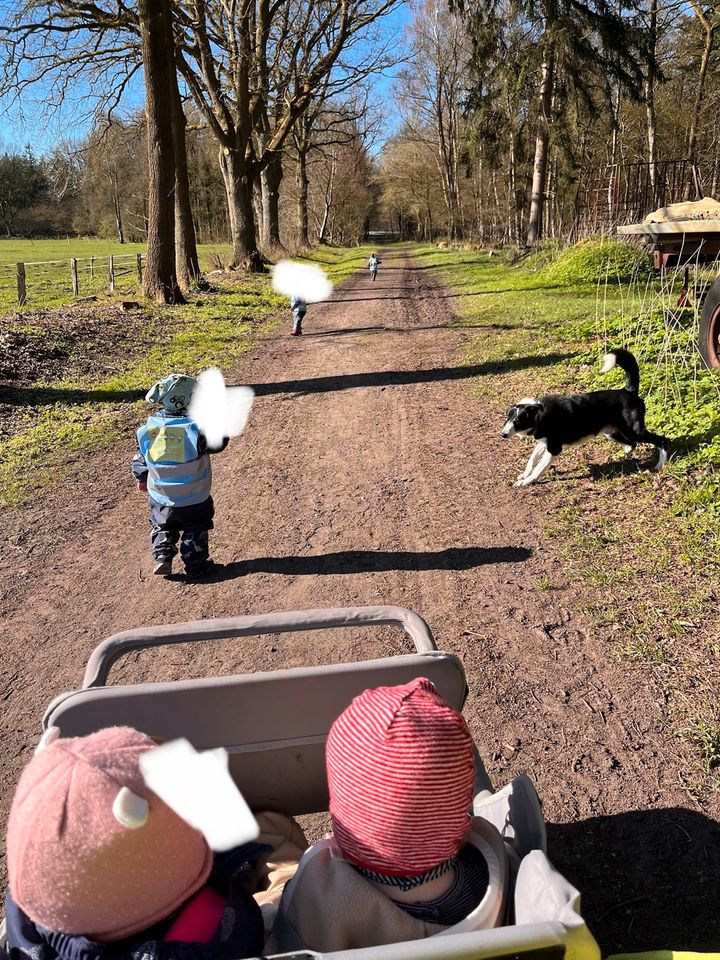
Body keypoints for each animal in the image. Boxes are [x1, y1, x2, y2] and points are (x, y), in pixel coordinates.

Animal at [500, 348, 668, 488]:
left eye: (517, 421)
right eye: (507, 419)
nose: (502, 434)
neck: (540, 414)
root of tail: (628, 391)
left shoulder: (554, 448)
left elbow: (538, 468)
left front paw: (526, 482)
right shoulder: (543, 442)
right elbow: (532, 460)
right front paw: (524, 475)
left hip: (634, 431)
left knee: (661, 440)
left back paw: (660, 465)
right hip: (612, 432)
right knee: (632, 444)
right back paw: (625, 454)